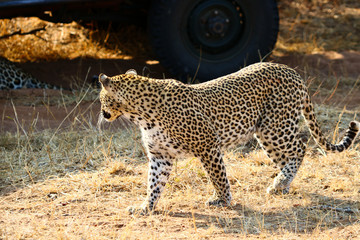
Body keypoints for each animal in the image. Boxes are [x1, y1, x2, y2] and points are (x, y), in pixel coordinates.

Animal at [97, 61, 360, 214]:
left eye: (101, 98)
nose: (102, 113)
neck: (141, 114)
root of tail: (292, 71)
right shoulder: (160, 155)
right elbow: (154, 183)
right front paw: (146, 207)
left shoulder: (208, 145)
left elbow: (218, 176)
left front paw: (222, 200)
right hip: (269, 133)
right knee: (289, 155)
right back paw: (282, 184)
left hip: (273, 127)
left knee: (300, 146)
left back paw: (280, 182)